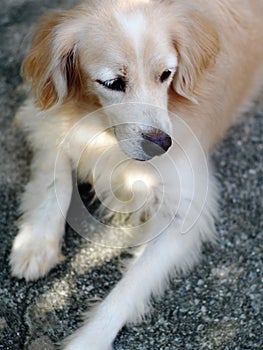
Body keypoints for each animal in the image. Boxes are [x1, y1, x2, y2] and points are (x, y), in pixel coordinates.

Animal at [10, 0, 263, 348]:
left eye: (166, 75)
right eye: (113, 82)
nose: (162, 145)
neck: (103, 130)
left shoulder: (183, 209)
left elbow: (128, 288)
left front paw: (89, 338)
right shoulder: (48, 118)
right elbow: (53, 179)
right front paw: (35, 243)